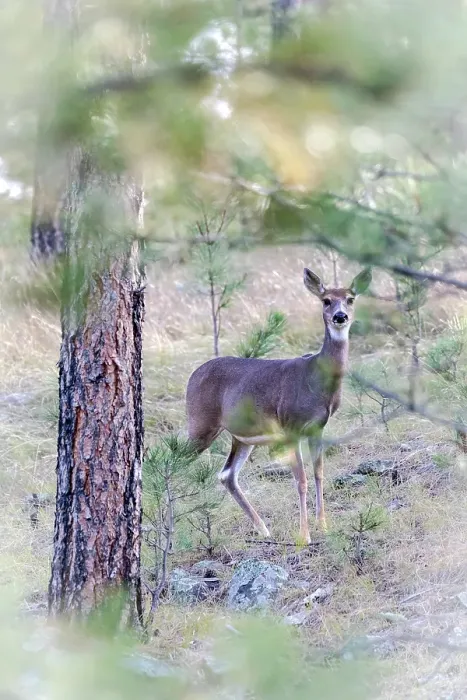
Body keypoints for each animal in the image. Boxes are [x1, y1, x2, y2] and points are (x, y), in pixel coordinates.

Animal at [186, 266, 372, 544]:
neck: (315, 380)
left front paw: (324, 526)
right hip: (200, 422)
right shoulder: (290, 426)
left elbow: (318, 473)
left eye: (350, 298)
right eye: (326, 300)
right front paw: (304, 536)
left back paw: (263, 529)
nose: (340, 316)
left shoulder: (318, 427)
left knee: (227, 474)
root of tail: (191, 377)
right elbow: (301, 480)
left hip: (241, 436)